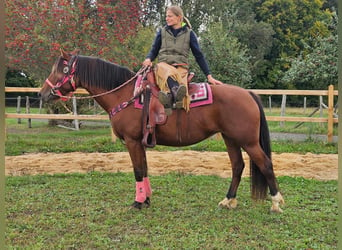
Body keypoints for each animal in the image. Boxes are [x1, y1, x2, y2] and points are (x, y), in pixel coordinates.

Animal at [40, 50, 284, 213]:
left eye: (62, 70)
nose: (43, 93)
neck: (126, 95)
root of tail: (248, 94)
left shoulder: (132, 141)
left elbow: (138, 170)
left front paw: (138, 202)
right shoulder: (140, 142)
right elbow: (145, 169)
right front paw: (146, 199)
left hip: (248, 141)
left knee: (265, 164)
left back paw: (276, 202)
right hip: (230, 138)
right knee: (237, 166)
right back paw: (229, 200)